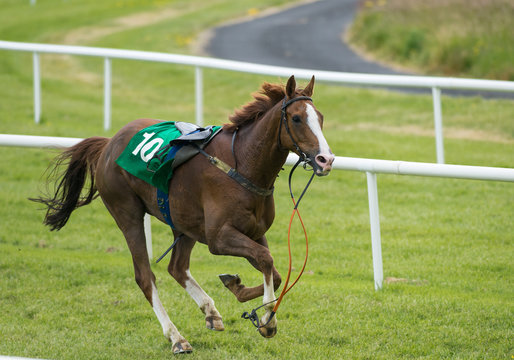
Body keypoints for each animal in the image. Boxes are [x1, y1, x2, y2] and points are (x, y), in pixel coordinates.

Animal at [34, 74, 334, 352]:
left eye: (320, 117)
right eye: (296, 118)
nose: (326, 159)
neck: (242, 164)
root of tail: (108, 144)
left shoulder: (254, 232)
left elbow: (273, 270)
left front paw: (237, 288)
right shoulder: (218, 237)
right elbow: (265, 260)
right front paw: (268, 319)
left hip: (183, 223)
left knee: (176, 267)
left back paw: (211, 312)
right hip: (127, 213)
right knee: (145, 276)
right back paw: (177, 338)